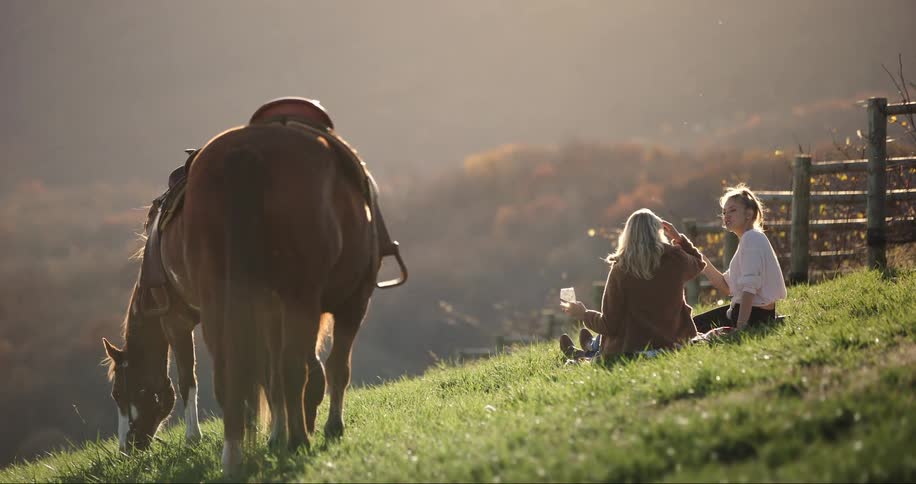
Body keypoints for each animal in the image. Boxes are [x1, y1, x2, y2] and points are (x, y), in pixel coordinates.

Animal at [102, 98, 405, 473]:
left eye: (120, 393)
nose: (126, 448)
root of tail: (245, 155)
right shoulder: (339, 302)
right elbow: (320, 369)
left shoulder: (179, 319)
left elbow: (193, 379)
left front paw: (196, 438)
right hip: (292, 299)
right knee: (289, 369)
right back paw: (293, 439)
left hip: (227, 306)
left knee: (237, 376)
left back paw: (242, 454)